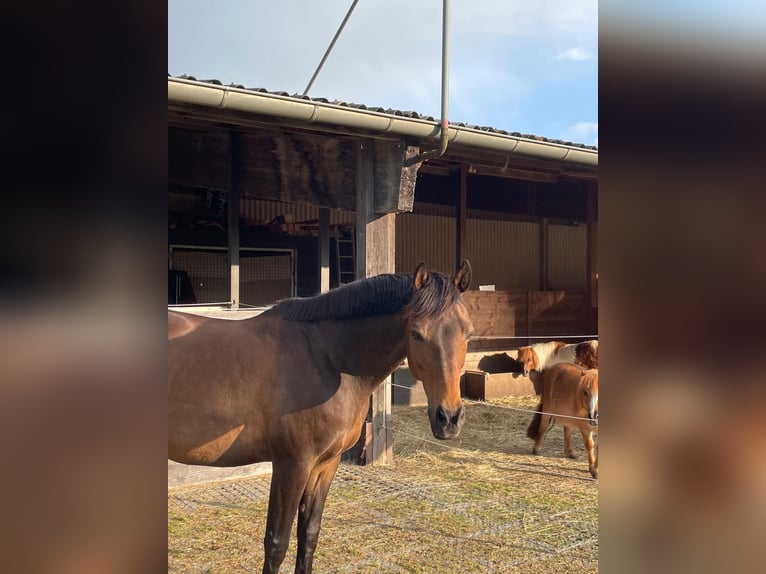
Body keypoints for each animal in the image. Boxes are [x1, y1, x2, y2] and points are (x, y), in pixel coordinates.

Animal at [168, 262, 474, 574]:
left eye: (468, 333)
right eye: (416, 334)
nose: (449, 418)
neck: (327, 359)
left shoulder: (326, 464)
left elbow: (309, 534)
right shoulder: (292, 465)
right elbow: (276, 543)